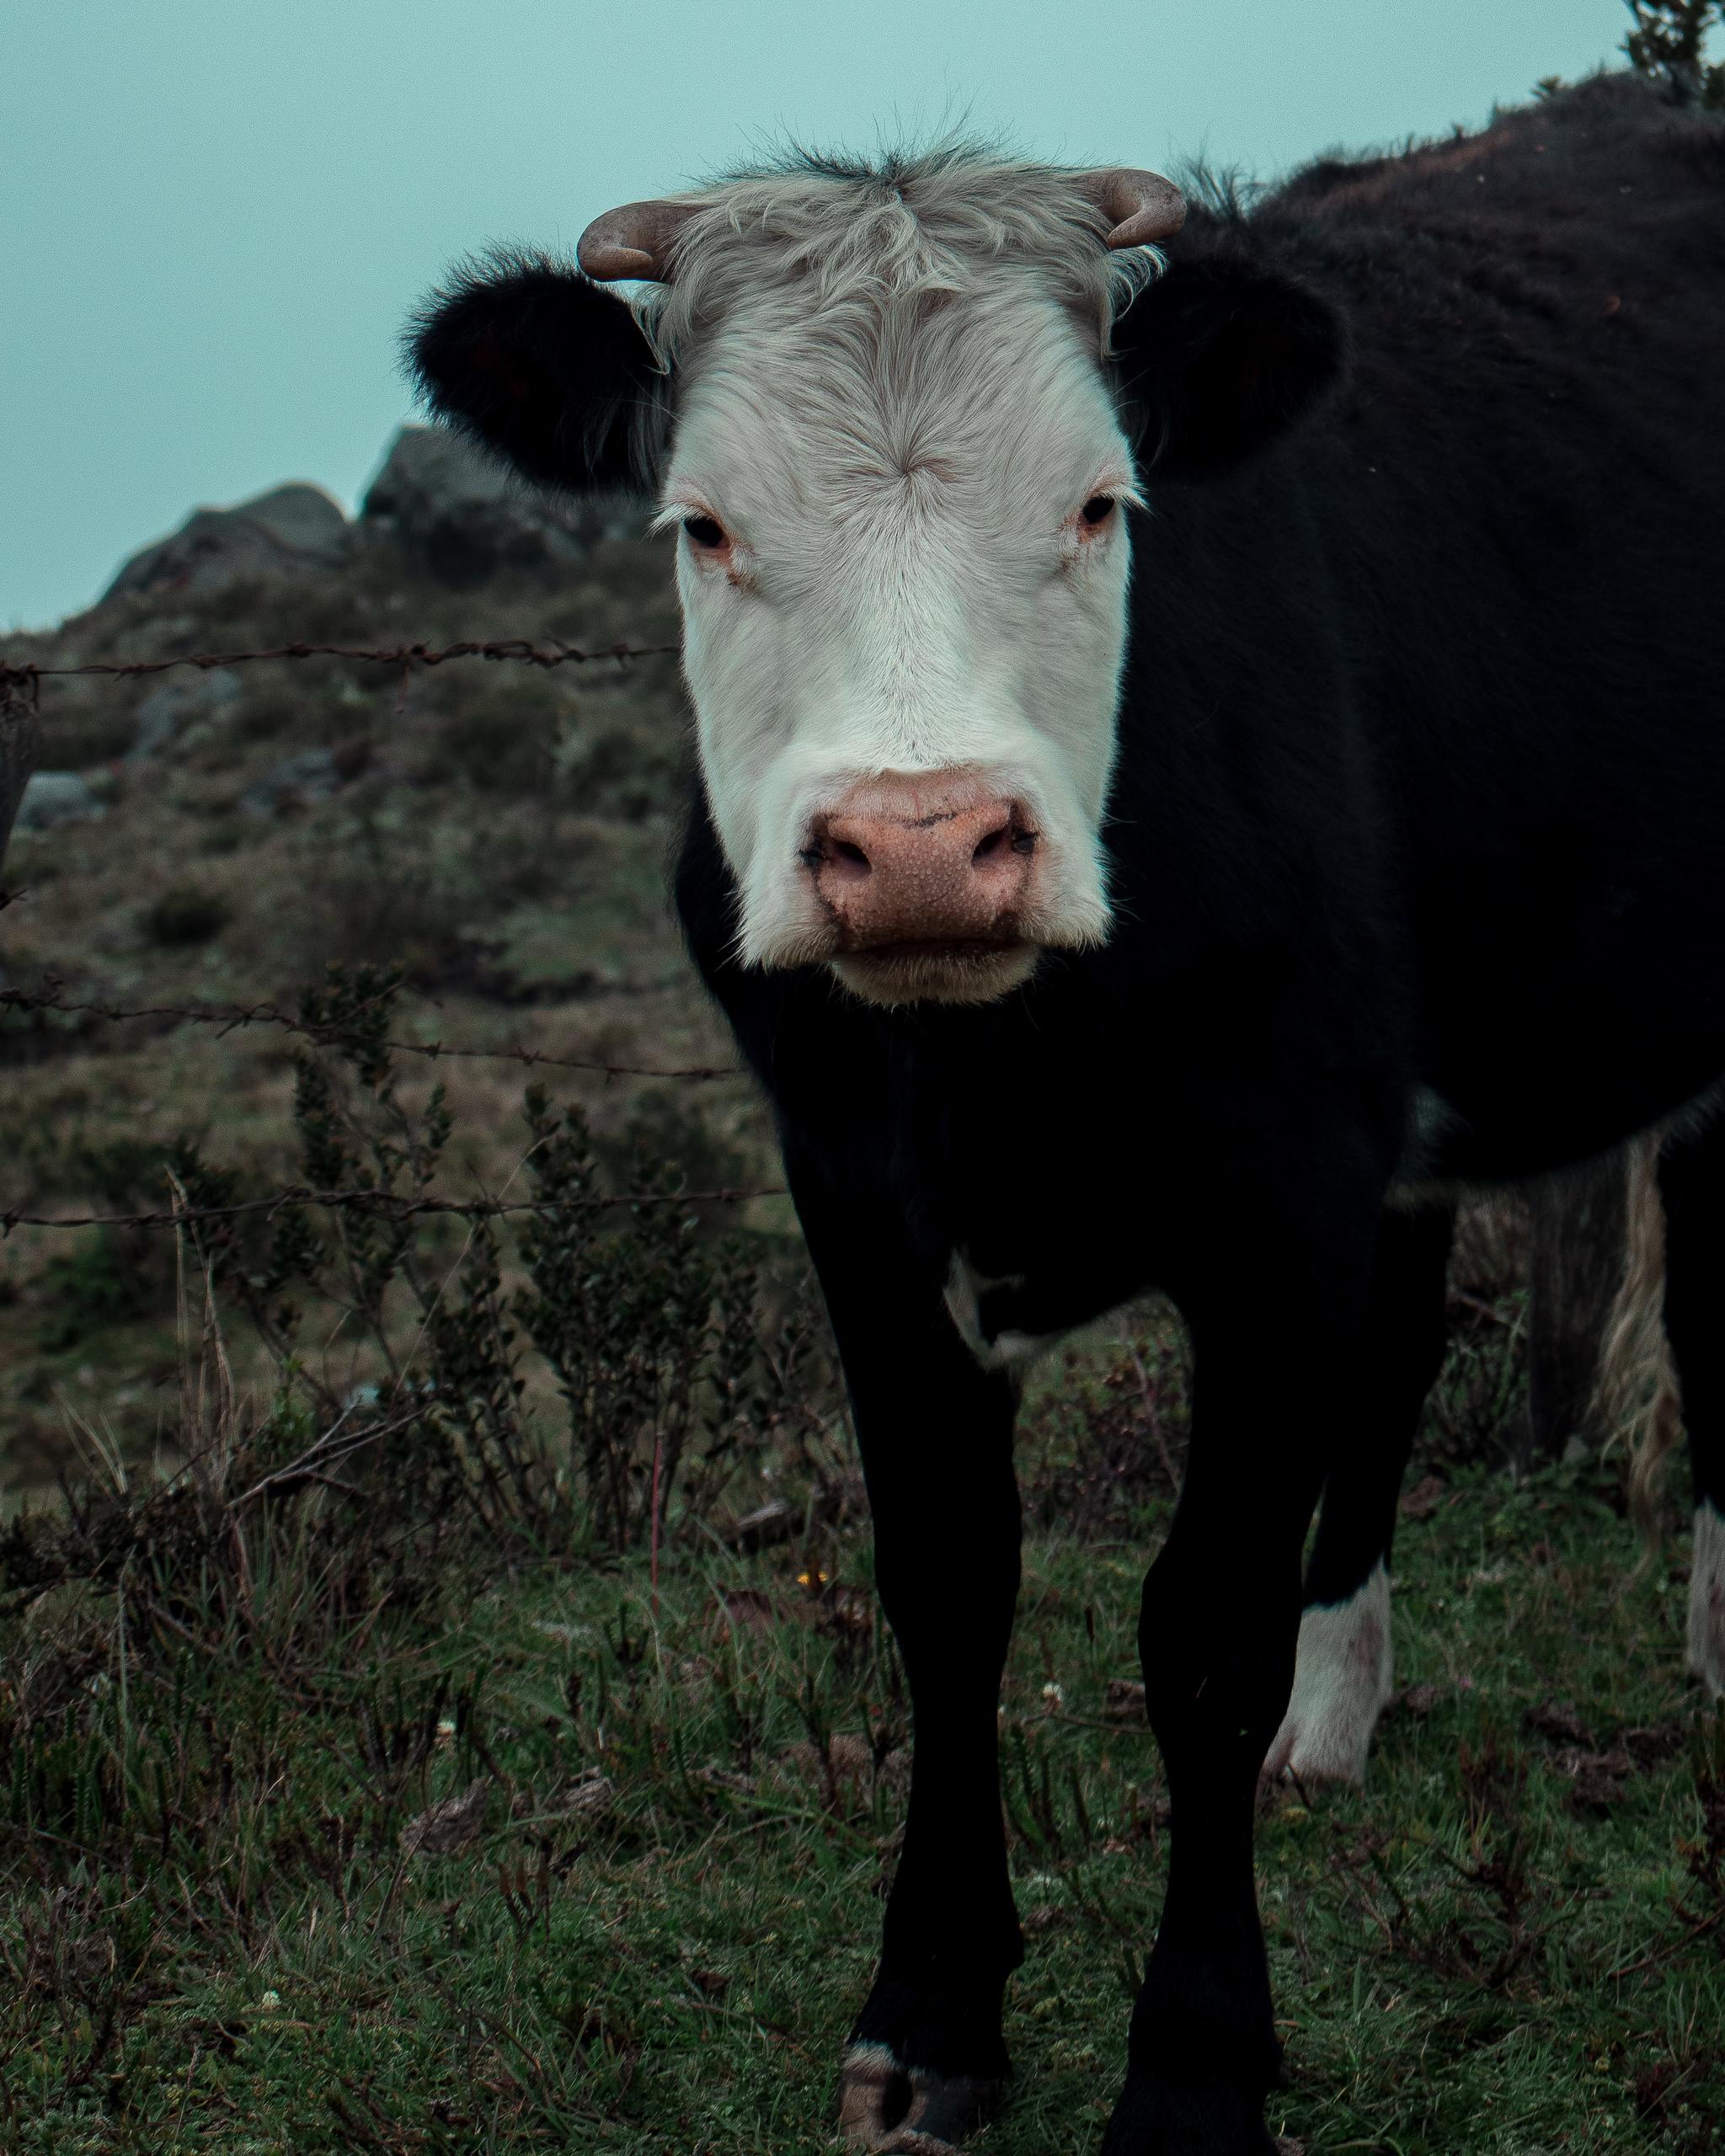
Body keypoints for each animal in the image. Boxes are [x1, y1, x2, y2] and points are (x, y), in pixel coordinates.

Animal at [411, 67, 1725, 2156]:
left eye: (1102, 506)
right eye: (702, 526)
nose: (920, 850)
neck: (993, 1071)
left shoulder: (1286, 1180)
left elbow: (1199, 1627)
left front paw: (1191, 2064)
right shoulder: (853, 1190)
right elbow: (948, 1580)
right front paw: (933, 2005)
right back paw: (1344, 1713)